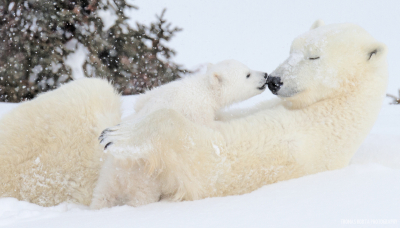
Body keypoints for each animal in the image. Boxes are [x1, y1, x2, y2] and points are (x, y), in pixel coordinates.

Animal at [89, 60, 268, 208]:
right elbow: (206, 127)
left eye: (248, 68)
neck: (203, 88)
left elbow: (141, 100)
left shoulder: (158, 91)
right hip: (145, 178)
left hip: (108, 177)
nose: (265, 75)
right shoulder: (197, 109)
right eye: (247, 74)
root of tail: (120, 179)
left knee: (102, 194)